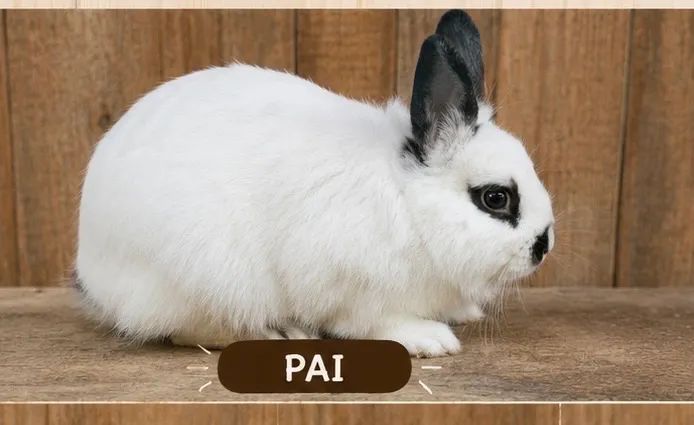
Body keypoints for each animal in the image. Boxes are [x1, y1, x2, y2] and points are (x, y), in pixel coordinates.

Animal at [75, 10, 554, 358]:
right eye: (495, 198)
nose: (543, 245)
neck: (410, 203)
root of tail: (93, 269)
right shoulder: (350, 288)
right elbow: (374, 323)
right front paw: (431, 339)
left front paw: (466, 312)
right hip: (202, 277)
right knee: (189, 330)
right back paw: (279, 334)